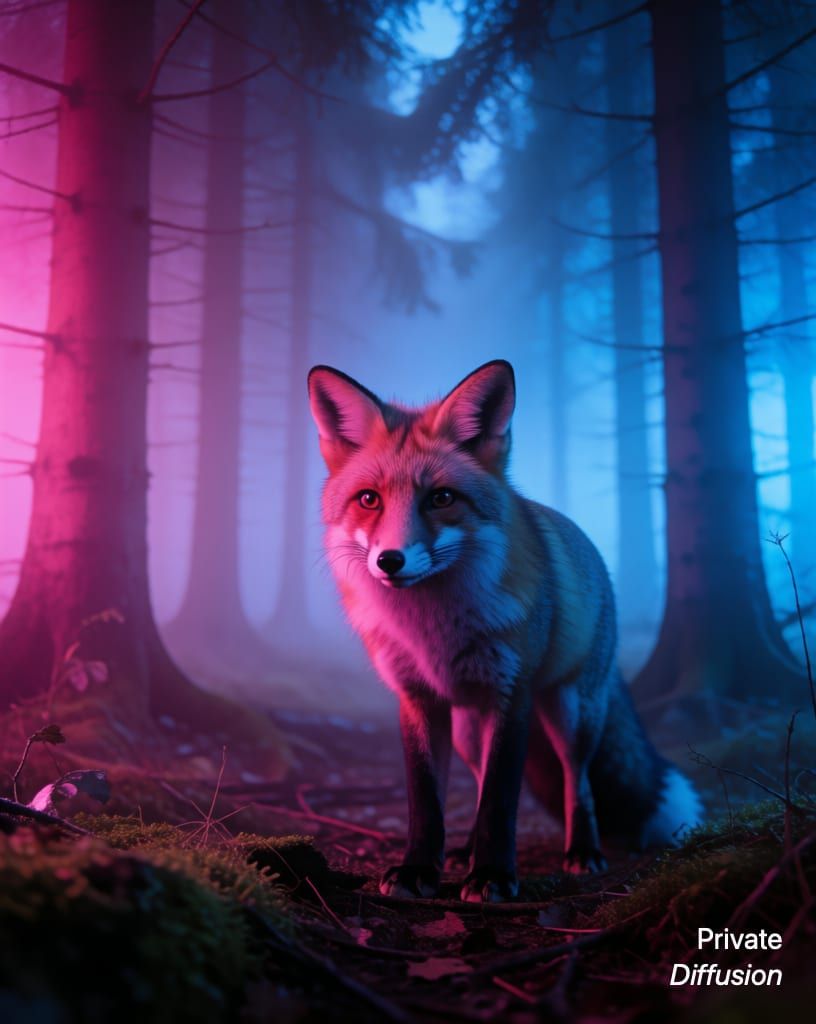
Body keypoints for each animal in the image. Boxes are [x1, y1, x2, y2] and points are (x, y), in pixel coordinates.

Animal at [307, 359, 702, 903]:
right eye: (369, 499)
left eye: (441, 498)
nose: (390, 561)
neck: (433, 629)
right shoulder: (417, 698)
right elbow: (427, 801)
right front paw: (418, 869)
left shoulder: (512, 695)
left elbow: (501, 798)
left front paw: (493, 875)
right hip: (469, 731)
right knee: (477, 785)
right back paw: (466, 851)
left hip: (570, 712)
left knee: (576, 781)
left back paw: (583, 851)